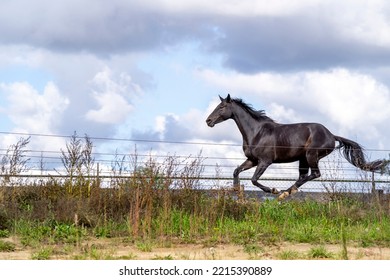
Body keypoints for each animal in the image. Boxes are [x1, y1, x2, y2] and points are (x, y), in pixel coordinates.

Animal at [206, 94, 386, 199]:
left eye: (222, 107)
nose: (208, 121)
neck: (257, 132)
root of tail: (331, 135)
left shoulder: (264, 161)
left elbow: (254, 179)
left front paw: (273, 190)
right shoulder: (252, 160)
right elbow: (236, 171)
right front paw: (236, 191)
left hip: (311, 156)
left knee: (315, 174)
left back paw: (285, 192)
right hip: (303, 159)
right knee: (304, 176)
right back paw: (287, 191)